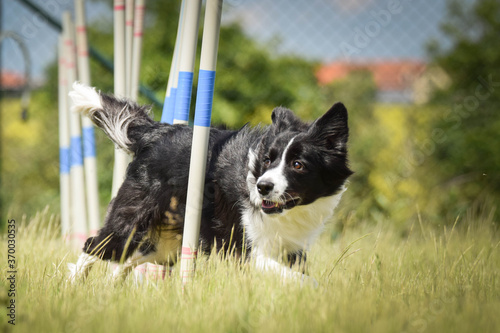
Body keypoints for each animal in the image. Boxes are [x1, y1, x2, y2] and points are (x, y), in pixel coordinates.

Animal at [68, 82, 354, 280]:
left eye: (298, 165)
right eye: (268, 160)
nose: (262, 187)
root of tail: (157, 131)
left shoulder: (292, 248)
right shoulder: (245, 249)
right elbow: (304, 281)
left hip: (168, 245)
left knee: (125, 262)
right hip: (133, 216)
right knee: (98, 245)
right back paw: (74, 287)